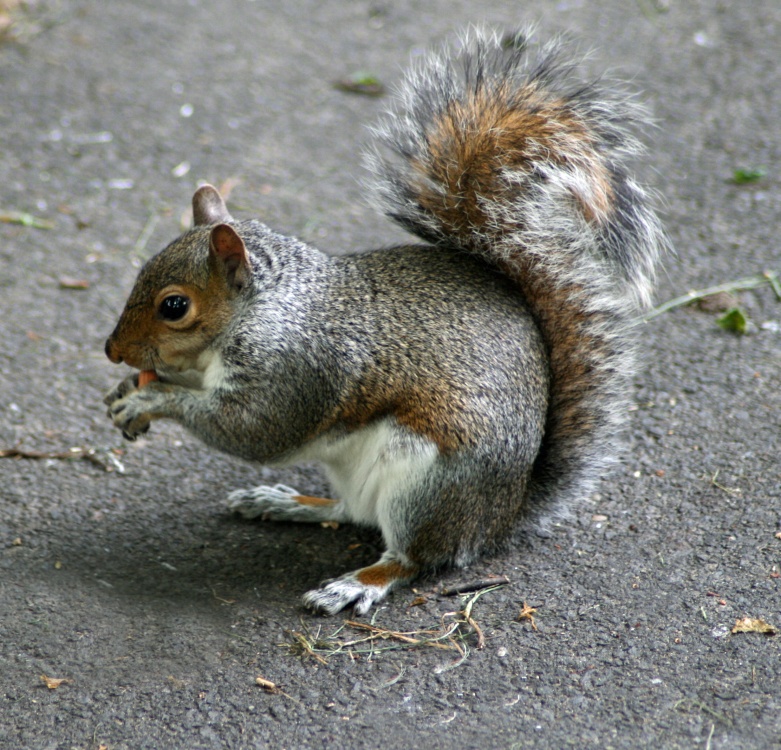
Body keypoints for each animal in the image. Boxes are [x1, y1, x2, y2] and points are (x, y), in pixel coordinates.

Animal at [104, 28, 668, 615]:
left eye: (174, 306)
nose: (112, 350)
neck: (264, 307)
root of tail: (501, 515)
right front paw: (128, 389)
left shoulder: (297, 366)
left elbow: (253, 428)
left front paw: (152, 398)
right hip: (360, 476)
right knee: (350, 513)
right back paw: (287, 502)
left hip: (426, 486)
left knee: (412, 557)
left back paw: (355, 582)